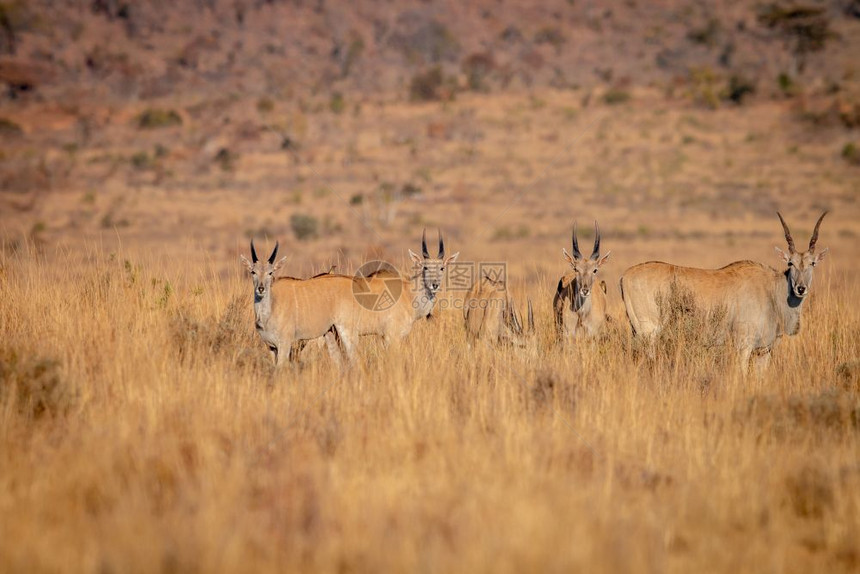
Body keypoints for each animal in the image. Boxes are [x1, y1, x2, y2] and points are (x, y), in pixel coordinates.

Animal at [620, 214, 828, 372]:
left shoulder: (763, 352)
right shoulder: (743, 347)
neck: (771, 292)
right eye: (791, 263)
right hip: (649, 333)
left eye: (812, 263)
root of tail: (625, 275)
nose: (800, 288)